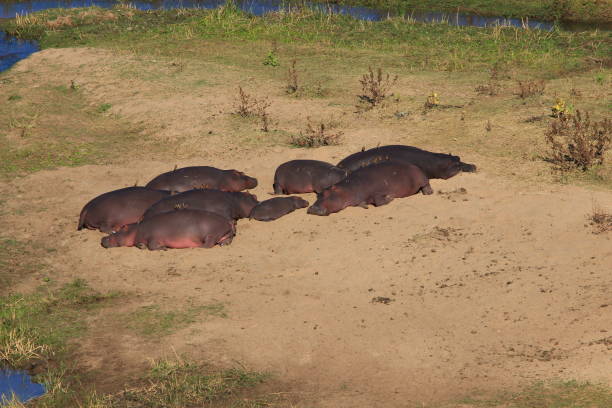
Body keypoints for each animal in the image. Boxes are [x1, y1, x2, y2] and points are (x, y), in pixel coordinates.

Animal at [101, 209, 235, 250]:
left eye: (123, 227)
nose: (103, 238)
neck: (136, 229)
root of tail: (228, 221)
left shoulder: (154, 237)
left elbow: (152, 246)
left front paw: (163, 248)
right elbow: (141, 244)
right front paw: (141, 246)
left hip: (210, 234)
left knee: (208, 245)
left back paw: (195, 247)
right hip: (225, 234)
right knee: (226, 240)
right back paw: (223, 244)